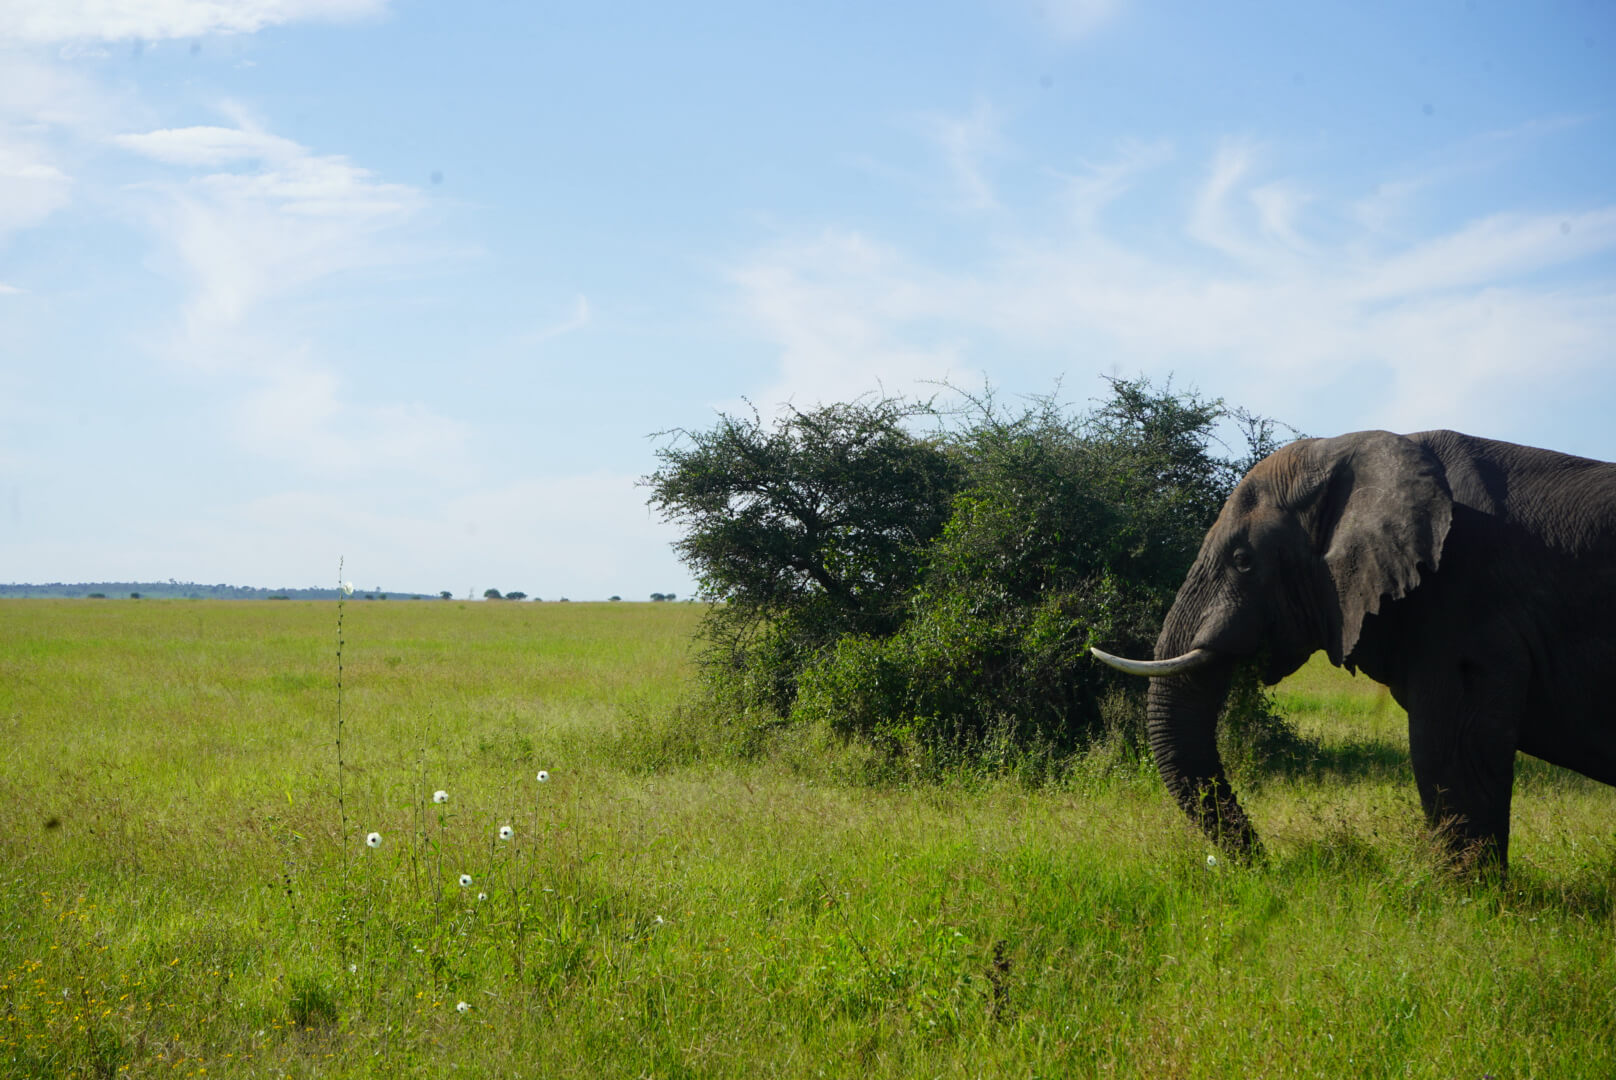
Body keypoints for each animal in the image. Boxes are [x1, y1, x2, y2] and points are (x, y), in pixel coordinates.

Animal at [1092, 426, 1616, 866]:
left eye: (1242, 560)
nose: (1262, 866)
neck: (1352, 451)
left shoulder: (1468, 606)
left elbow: (1451, 750)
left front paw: (1473, 902)